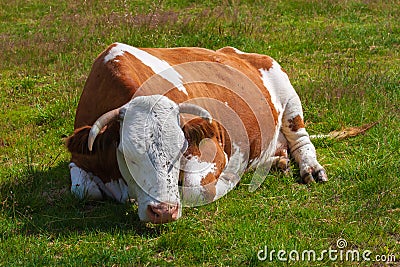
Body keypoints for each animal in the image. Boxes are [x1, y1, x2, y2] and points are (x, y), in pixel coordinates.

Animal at [66, 43, 328, 225]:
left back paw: (312, 169)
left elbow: (196, 190)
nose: (164, 211)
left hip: (290, 99)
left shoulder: (211, 152)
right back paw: (277, 162)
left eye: (180, 150)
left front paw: (228, 180)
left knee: (301, 142)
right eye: (129, 155)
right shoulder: (79, 159)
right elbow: (83, 190)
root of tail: (237, 52)